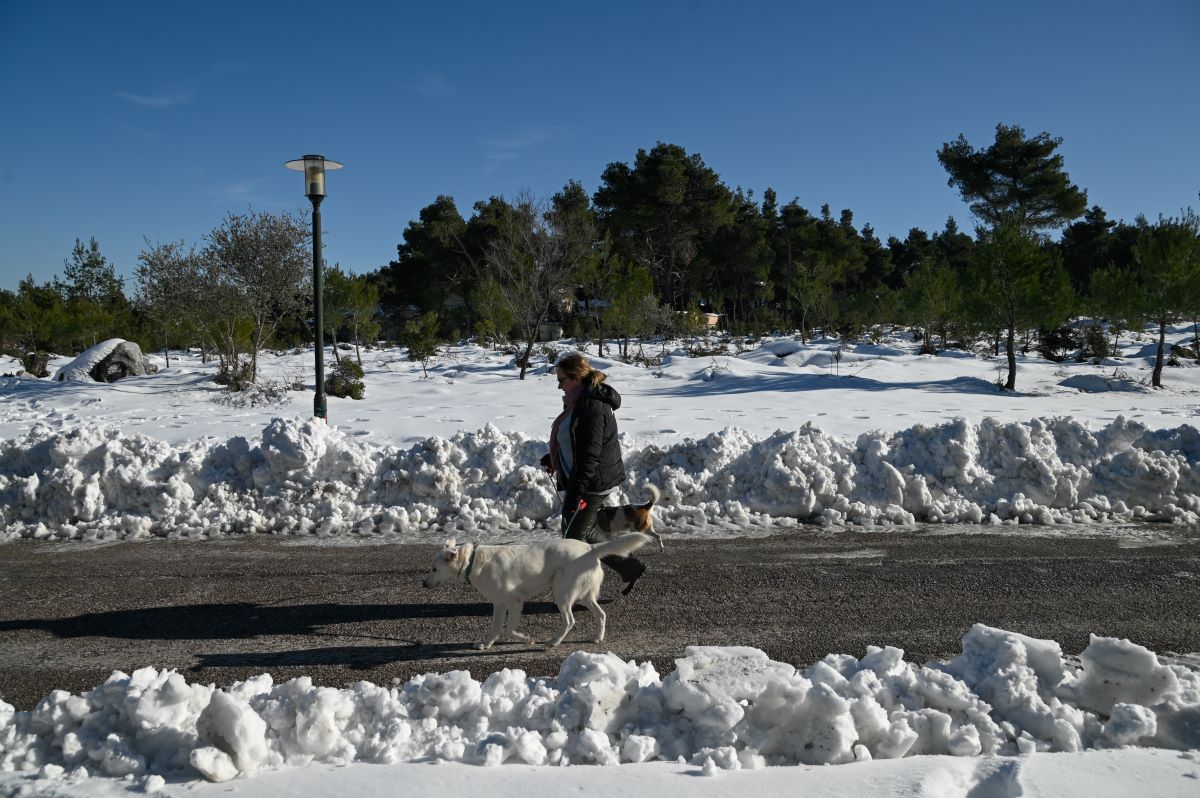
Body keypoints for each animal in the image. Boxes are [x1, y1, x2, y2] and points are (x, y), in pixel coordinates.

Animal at [420, 528, 648, 648]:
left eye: (433, 569)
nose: (422, 583)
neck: (473, 561)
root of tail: (589, 548)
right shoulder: (499, 604)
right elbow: (495, 628)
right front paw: (487, 643)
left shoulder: (515, 602)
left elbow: (510, 629)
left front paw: (527, 640)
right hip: (584, 596)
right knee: (601, 614)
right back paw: (598, 637)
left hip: (562, 594)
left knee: (570, 621)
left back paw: (554, 641)